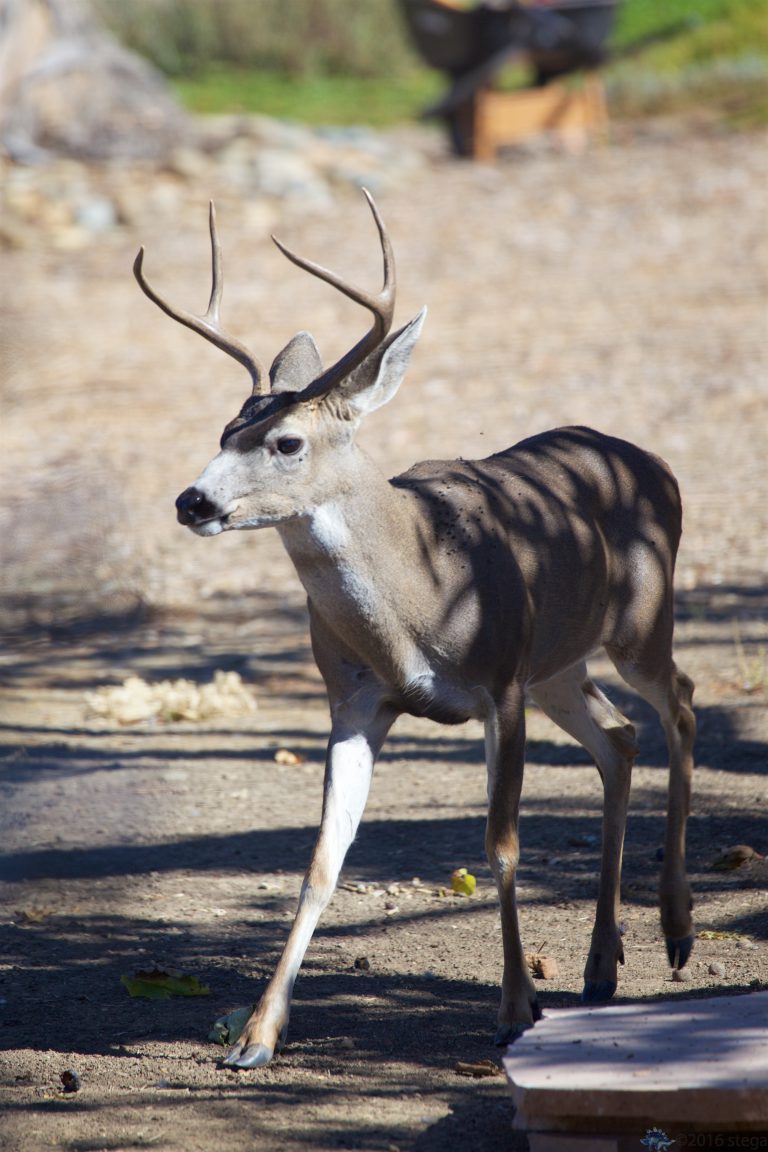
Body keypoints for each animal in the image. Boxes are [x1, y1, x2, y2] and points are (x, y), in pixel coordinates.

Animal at [134, 190, 696, 1070]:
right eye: (224, 432)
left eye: (286, 442)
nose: (193, 501)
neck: (415, 602)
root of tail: (656, 464)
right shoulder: (356, 700)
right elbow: (322, 861)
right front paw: (256, 1034)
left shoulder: (499, 683)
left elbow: (501, 843)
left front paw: (516, 1008)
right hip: (559, 666)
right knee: (619, 736)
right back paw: (603, 964)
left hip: (639, 619)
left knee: (682, 704)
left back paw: (676, 929)